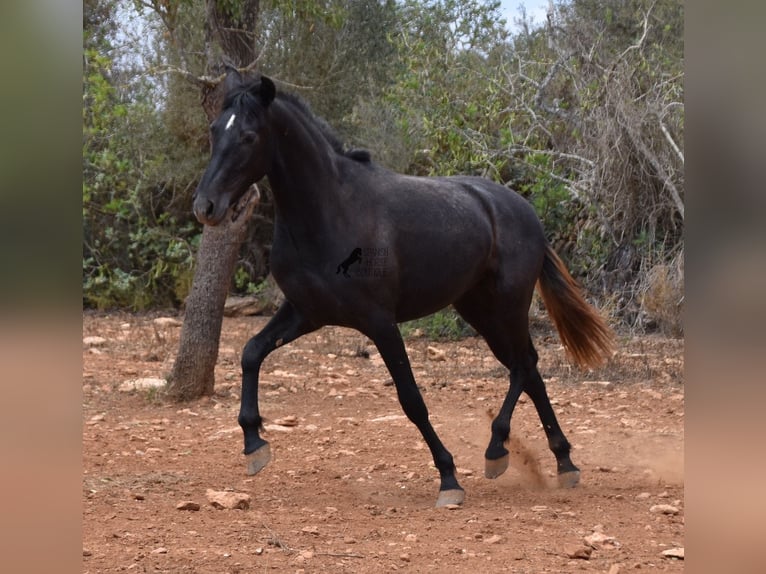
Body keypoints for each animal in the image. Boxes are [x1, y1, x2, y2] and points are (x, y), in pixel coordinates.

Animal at [194, 71, 616, 508]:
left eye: (248, 136)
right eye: (214, 129)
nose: (205, 207)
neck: (330, 212)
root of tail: (524, 211)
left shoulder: (380, 322)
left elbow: (411, 399)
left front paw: (449, 479)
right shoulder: (305, 312)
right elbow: (250, 353)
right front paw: (254, 444)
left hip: (509, 306)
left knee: (524, 365)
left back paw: (499, 450)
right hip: (479, 311)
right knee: (528, 370)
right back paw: (561, 463)